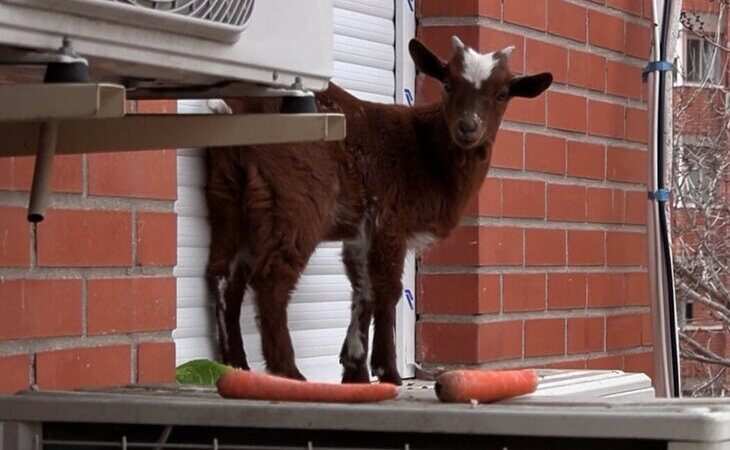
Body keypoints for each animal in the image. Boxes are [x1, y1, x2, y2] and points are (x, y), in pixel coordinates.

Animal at [205, 37, 552, 384]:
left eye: (502, 93)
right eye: (448, 83)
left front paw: (355, 369)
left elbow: (363, 289)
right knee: (272, 276)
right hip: (298, 197)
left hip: (228, 194)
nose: (467, 127)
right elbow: (388, 290)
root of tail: (240, 110)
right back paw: (288, 372)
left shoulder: (362, 232)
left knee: (223, 273)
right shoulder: (390, 222)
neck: (428, 151)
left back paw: (235, 364)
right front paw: (388, 371)